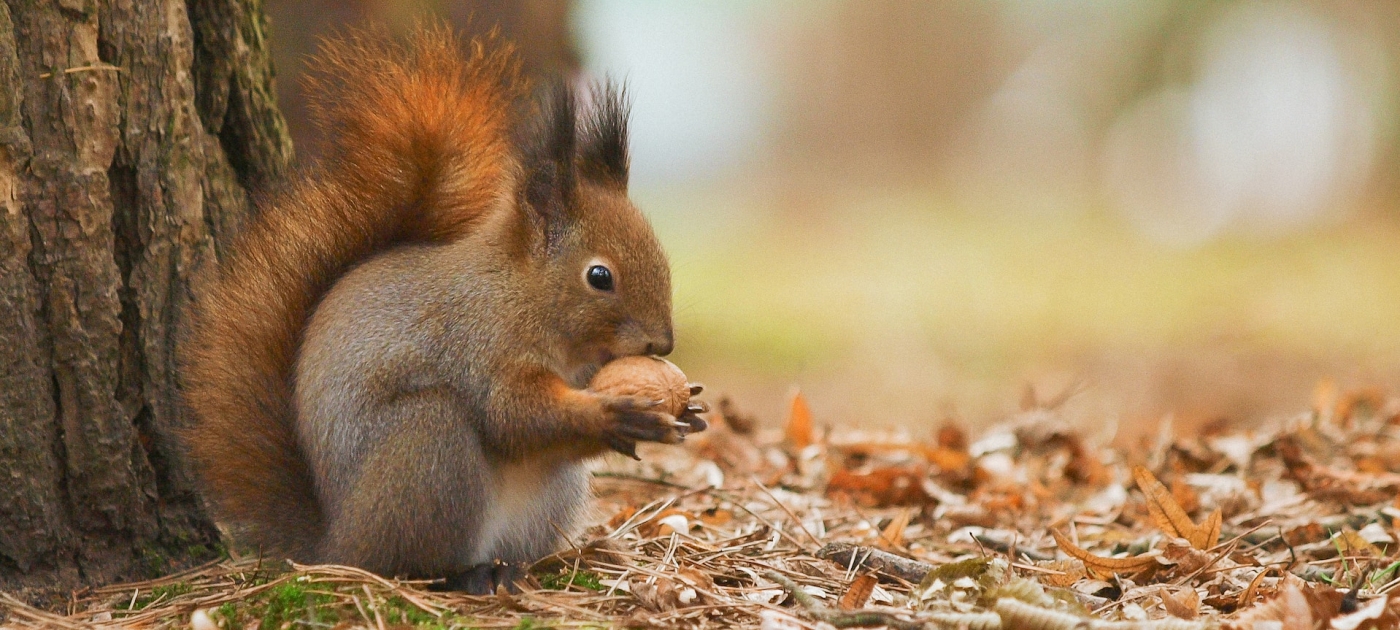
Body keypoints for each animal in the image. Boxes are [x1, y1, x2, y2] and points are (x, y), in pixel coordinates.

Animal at [181, 25, 704, 593]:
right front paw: (613, 413)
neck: (521, 295)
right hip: (427, 449)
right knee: (407, 558)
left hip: (544, 499)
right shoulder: (480, 344)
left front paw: (685, 410)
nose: (663, 343)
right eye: (600, 277)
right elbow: (512, 415)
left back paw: (512, 568)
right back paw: (463, 575)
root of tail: (332, 544)